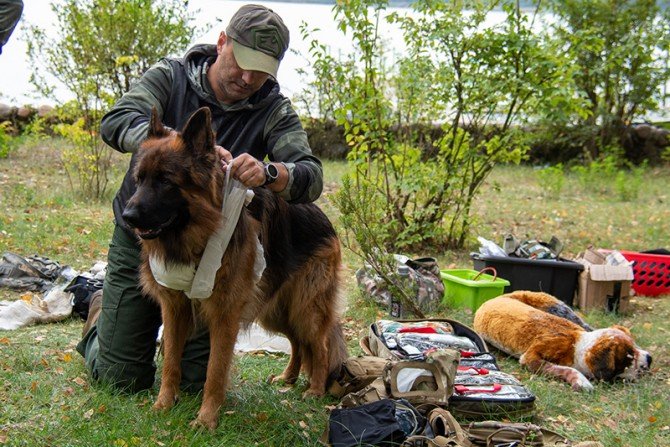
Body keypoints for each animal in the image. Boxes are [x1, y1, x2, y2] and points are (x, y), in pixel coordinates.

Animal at [121, 108, 350, 430]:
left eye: (165, 181)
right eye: (139, 179)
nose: (127, 216)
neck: (199, 234)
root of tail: (320, 213)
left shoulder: (224, 314)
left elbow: (214, 372)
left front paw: (206, 420)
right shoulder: (174, 308)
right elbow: (170, 363)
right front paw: (164, 404)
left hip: (305, 308)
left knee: (319, 345)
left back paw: (315, 389)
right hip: (274, 309)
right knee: (297, 342)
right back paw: (288, 377)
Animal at [476, 290, 652, 392]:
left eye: (635, 344)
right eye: (629, 355)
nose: (650, 358)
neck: (577, 342)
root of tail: (501, 296)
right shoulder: (531, 357)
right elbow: (563, 368)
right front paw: (581, 380)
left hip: (562, 309)